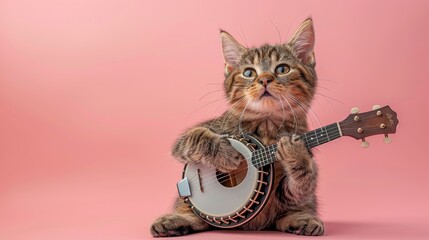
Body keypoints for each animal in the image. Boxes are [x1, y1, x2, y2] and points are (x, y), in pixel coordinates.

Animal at [149, 18, 322, 236]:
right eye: (249, 73)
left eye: (282, 69)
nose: (264, 79)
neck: (266, 125)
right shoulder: (192, 137)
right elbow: (194, 137)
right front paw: (226, 154)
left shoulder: (286, 190)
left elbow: (301, 182)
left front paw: (296, 153)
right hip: (184, 201)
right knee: (193, 214)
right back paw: (177, 220)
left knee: (300, 205)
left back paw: (302, 219)